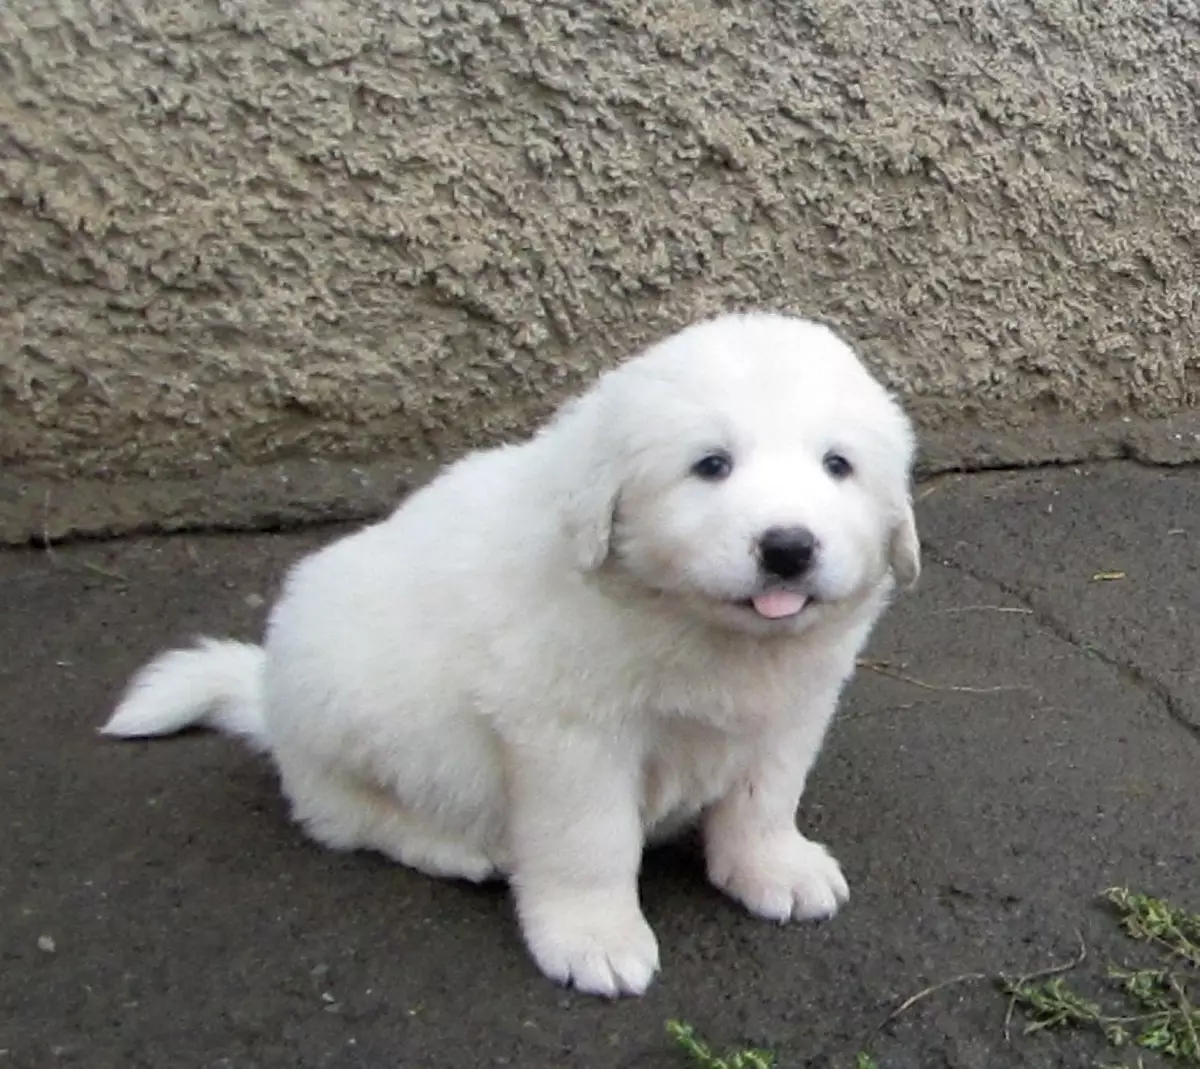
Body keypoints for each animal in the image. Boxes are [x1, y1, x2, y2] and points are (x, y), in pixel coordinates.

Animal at [103, 314, 916, 998]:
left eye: (837, 465)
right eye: (711, 465)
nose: (789, 547)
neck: (696, 625)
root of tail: (269, 701)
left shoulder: (791, 710)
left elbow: (763, 797)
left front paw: (772, 866)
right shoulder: (570, 735)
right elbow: (589, 839)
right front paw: (595, 937)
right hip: (343, 710)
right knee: (345, 814)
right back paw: (455, 849)